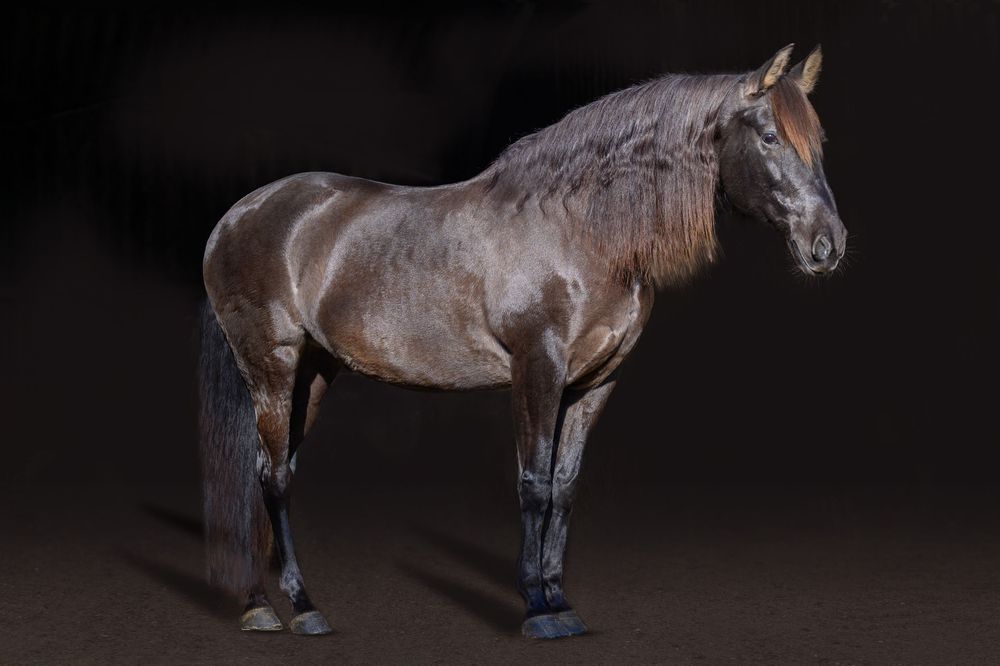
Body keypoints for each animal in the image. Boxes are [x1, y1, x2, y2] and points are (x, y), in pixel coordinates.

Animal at [198, 43, 846, 639]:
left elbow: (564, 485)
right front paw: (536, 607)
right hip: (272, 366)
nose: (829, 244)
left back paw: (262, 605)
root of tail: (235, 216)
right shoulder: (538, 367)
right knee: (273, 477)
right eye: (770, 136)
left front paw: (560, 600)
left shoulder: (595, 383)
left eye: (817, 141)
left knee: (269, 470)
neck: (580, 230)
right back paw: (301, 608)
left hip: (313, 375)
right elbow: (532, 483)